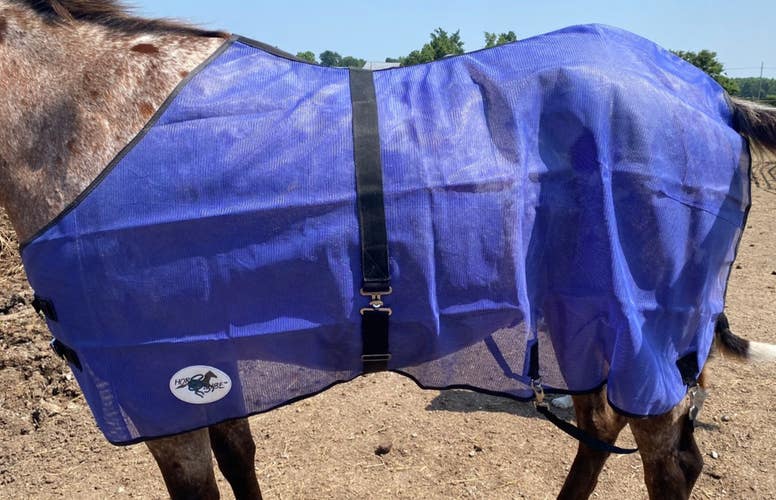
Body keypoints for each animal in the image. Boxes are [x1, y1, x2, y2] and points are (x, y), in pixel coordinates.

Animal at [1, 2, 776, 499]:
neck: (96, 118)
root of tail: (716, 96)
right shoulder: (202, 365)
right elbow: (240, 456)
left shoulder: (156, 379)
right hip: (585, 322)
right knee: (600, 436)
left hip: (642, 334)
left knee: (668, 466)